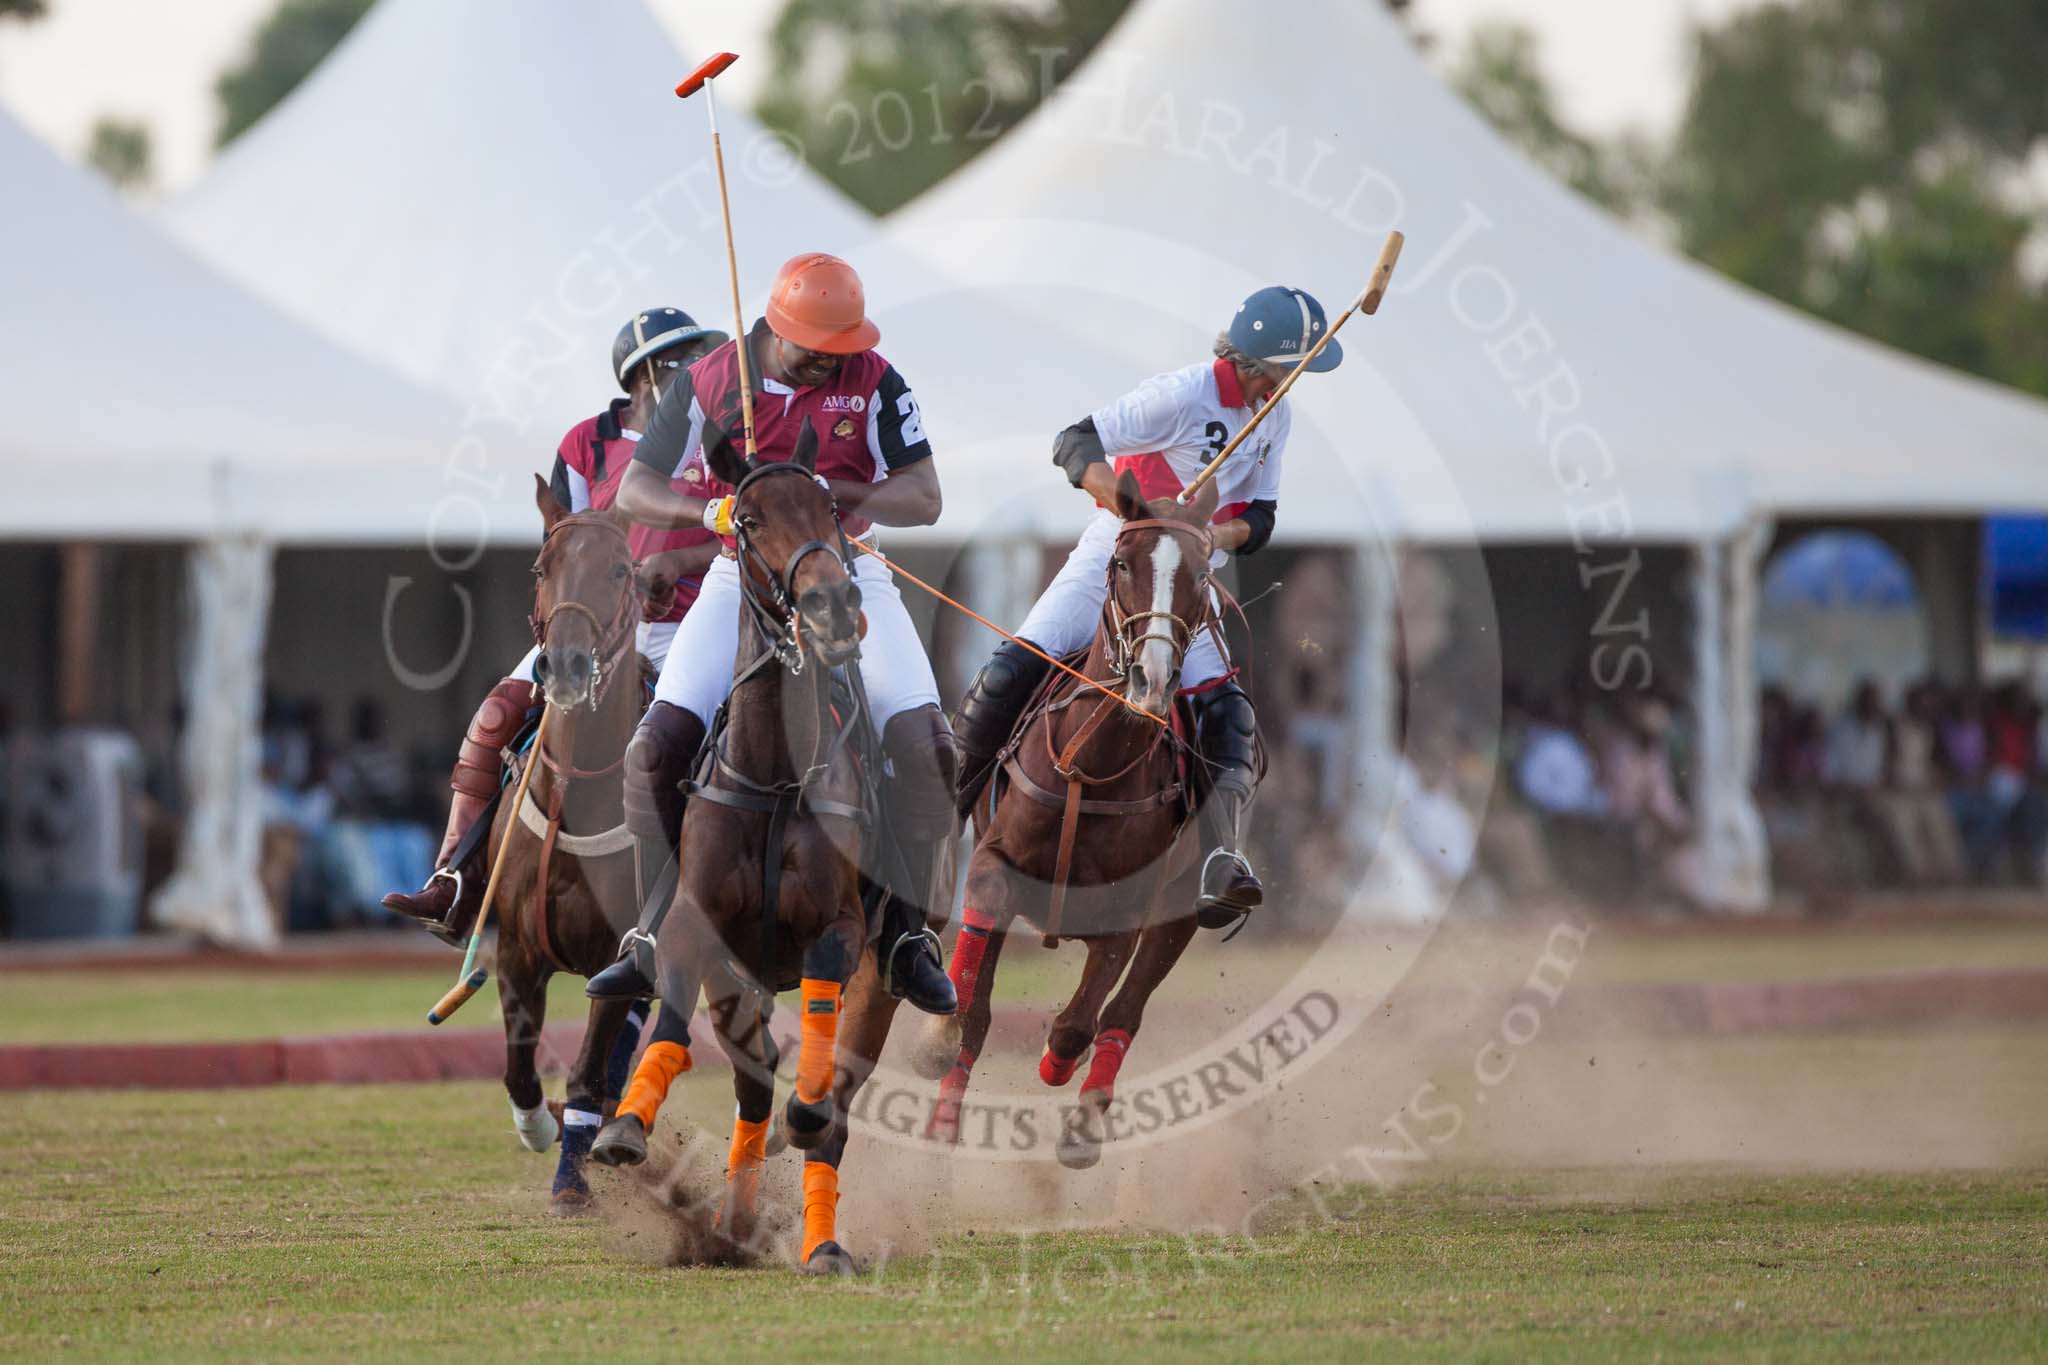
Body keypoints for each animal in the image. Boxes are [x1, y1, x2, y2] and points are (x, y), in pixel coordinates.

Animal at [585, 421, 905, 1277]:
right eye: (750, 521)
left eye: (831, 508)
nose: (833, 604)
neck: (774, 774)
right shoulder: (694, 925)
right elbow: (668, 1022)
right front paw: (624, 1126)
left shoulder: (838, 928)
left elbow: (818, 1085)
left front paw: (808, 1111)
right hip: (739, 981)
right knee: (755, 1087)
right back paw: (730, 1222)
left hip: (877, 984)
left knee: (832, 1110)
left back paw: (821, 1240)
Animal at [913, 472, 1212, 1178]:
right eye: (1121, 564)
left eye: (1203, 574)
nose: (1152, 680)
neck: (1092, 764)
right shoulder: (994, 865)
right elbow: (971, 1011)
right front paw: (937, 1049)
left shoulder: (1129, 908)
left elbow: (1082, 1021)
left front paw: (1057, 1070)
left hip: (1182, 909)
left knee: (1123, 1013)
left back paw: (1081, 1114)